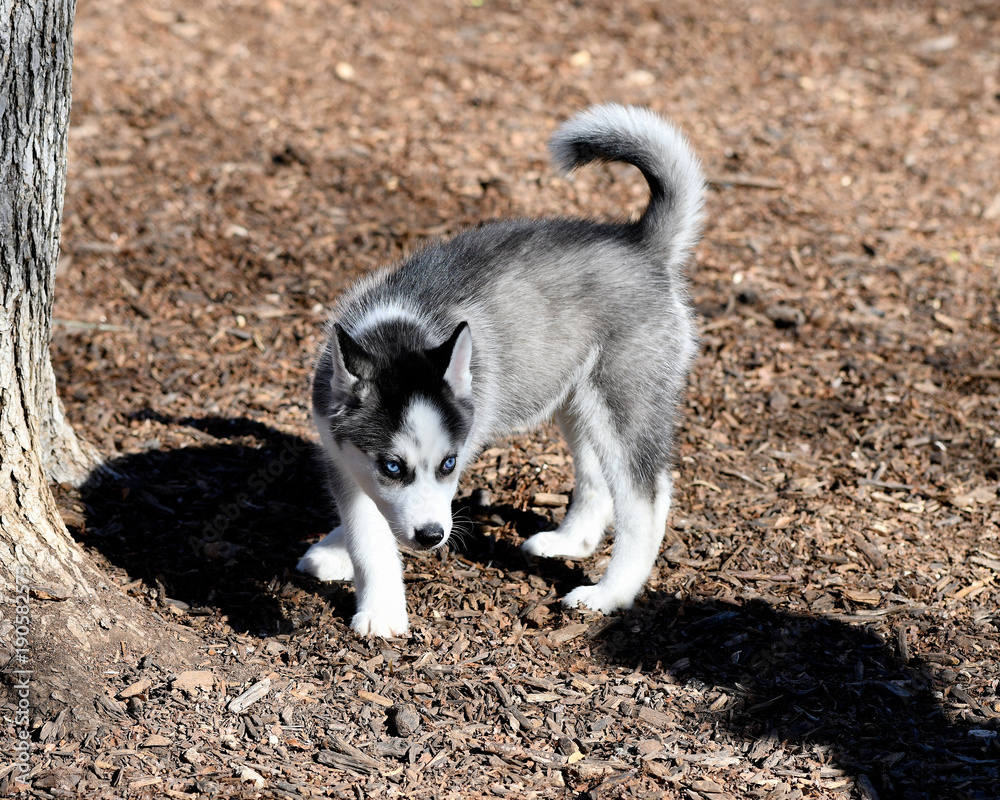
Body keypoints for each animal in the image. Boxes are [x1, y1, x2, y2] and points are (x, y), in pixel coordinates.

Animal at [296, 103, 704, 636]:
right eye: (392, 466)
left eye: (449, 464)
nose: (432, 536)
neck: (397, 331)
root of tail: (640, 244)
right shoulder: (340, 453)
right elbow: (368, 524)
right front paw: (342, 552)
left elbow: (376, 534)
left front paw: (380, 612)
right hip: (578, 398)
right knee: (596, 475)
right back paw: (570, 542)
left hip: (625, 399)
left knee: (646, 499)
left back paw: (609, 593)